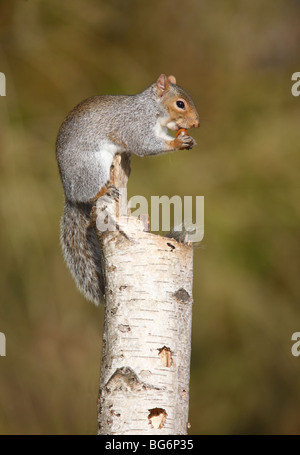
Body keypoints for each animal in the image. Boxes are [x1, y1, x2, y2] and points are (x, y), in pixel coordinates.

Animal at [56, 73, 199, 304]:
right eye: (180, 104)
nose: (196, 123)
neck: (151, 109)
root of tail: (69, 194)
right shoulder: (135, 125)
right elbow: (144, 145)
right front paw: (177, 142)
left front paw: (187, 139)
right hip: (92, 166)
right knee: (88, 192)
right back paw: (103, 191)